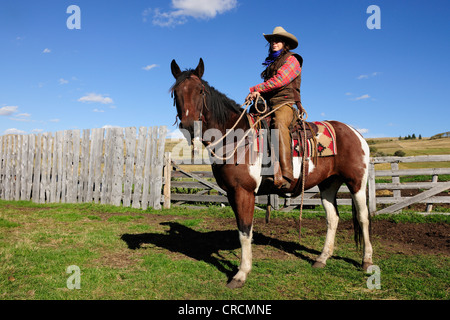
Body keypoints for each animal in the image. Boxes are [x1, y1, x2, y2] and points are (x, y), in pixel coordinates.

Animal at [169, 58, 372, 290]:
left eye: (201, 90)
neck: (236, 138)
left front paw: (241, 274)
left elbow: (245, 231)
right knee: (333, 218)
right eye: (175, 93)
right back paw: (321, 259)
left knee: (363, 217)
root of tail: (356, 133)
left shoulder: (244, 191)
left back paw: (366, 261)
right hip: (328, 184)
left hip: (356, 182)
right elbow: (242, 230)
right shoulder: (232, 193)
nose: (189, 125)